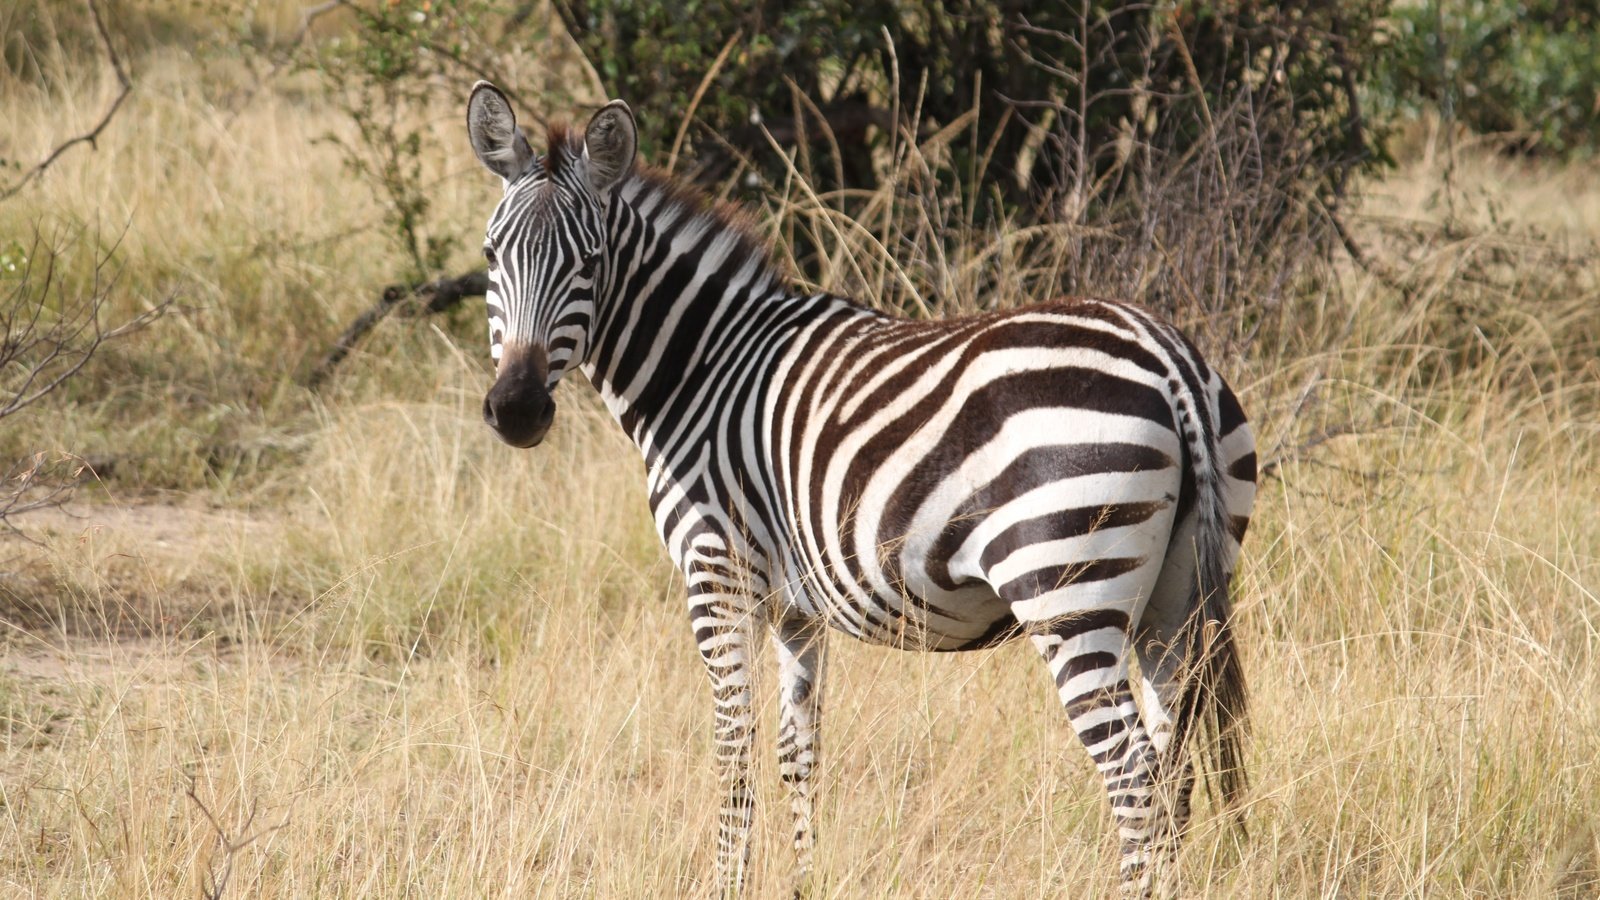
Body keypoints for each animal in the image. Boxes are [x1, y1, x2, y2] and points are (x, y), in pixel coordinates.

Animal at [467, 82, 1254, 890]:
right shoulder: (795, 608)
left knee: (1134, 775)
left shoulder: (717, 574)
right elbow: (798, 752)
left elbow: (733, 749)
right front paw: (802, 882)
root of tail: (1167, 357)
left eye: (590, 263)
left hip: (1067, 589)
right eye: (492, 255)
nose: (517, 410)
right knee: (1173, 767)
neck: (703, 367)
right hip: (1175, 599)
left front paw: (729, 883)